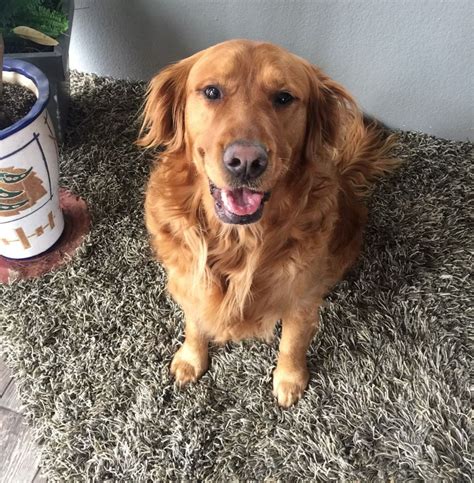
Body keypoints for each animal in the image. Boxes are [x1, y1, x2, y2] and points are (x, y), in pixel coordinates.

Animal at [138, 39, 396, 406]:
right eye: (212, 91)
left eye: (284, 98)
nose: (246, 161)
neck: (237, 240)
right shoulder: (189, 278)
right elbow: (194, 321)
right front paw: (191, 358)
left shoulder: (301, 296)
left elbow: (292, 343)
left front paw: (289, 380)